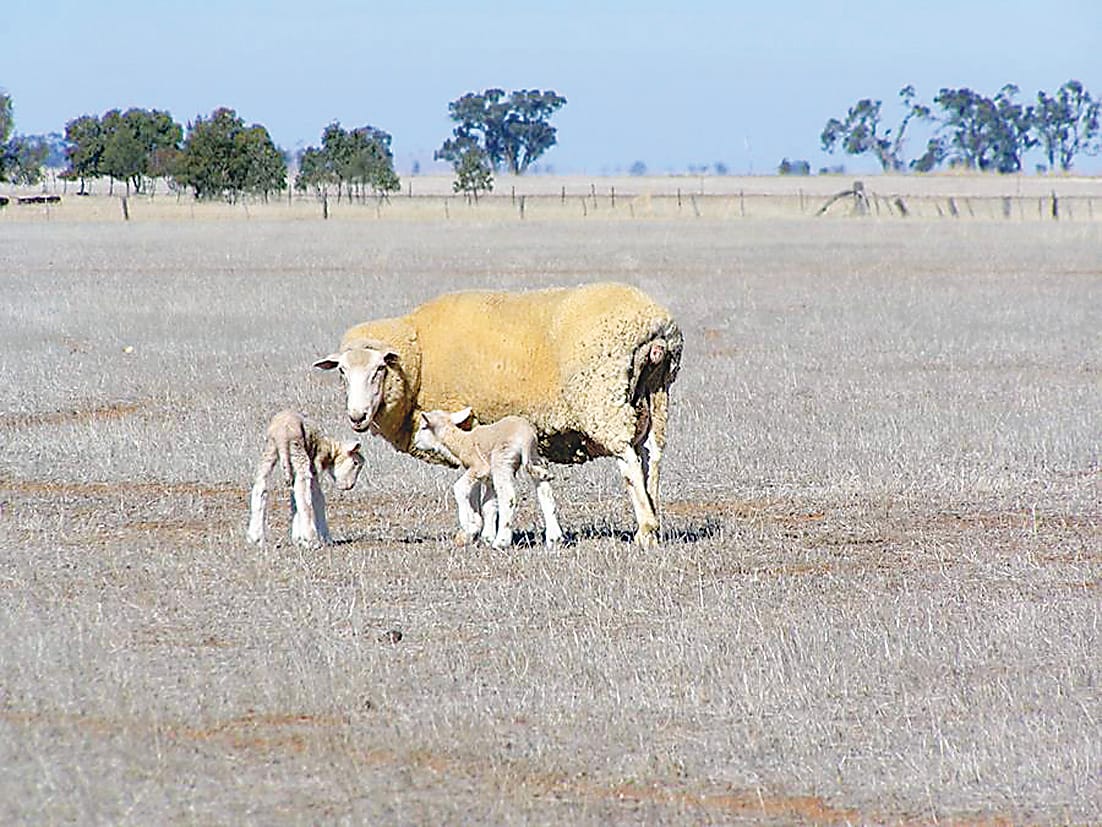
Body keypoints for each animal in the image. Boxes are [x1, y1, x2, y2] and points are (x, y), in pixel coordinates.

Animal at [246, 410, 364, 547]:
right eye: (355, 463)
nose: (350, 486)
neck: (329, 449)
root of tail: (281, 434)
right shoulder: (315, 465)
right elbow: (317, 497)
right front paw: (325, 538)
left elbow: (293, 498)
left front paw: (297, 537)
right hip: (297, 450)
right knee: (302, 492)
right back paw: (310, 539)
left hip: (270, 449)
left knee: (261, 485)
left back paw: (256, 538)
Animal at [413, 407, 564, 549]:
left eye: (423, 427)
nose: (415, 442)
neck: (461, 442)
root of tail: (526, 436)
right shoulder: (488, 478)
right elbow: (488, 504)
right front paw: (486, 536)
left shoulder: (479, 467)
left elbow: (460, 488)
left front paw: (470, 526)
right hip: (535, 458)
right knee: (545, 493)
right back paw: (554, 539)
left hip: (502, 460)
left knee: (508, 497)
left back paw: (501, 542)